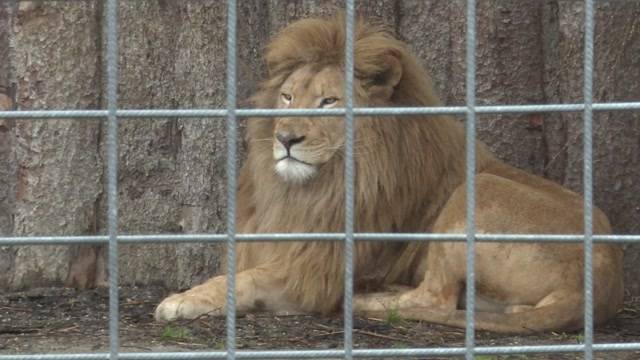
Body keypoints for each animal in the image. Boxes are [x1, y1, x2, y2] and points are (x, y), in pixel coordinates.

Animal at [152, 15, 624, 334]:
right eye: (286, 97)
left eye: (329, 101)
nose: (285, 138)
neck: (317, 187)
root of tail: (600, 281)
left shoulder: (317, 268)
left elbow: (243, 278)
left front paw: (182, 300)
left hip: (479, 190)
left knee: (435, 299)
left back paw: (363, 301)